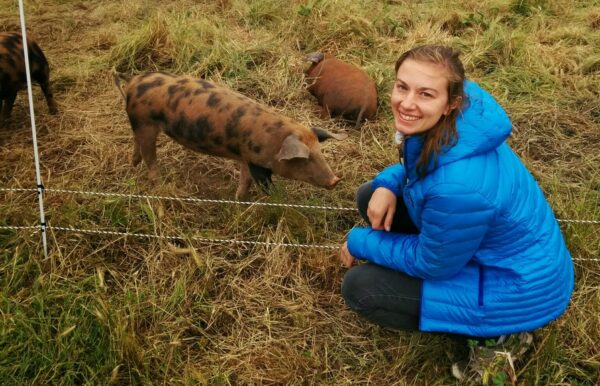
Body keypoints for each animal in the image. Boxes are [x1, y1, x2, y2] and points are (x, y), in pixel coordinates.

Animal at [114, 72, 344, 199]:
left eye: (319, 152)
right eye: (304, 158)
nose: (335, 180)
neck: (275, 140)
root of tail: (133, 81)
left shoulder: (245, 157)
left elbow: (245, 180)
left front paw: (238, 200)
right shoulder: (256, 162)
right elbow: (262, 184)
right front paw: (275, 198)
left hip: (139, 124)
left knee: (137, 144)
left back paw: (134, 163)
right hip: (144, 123)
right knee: (149, 155)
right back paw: (157, 182)